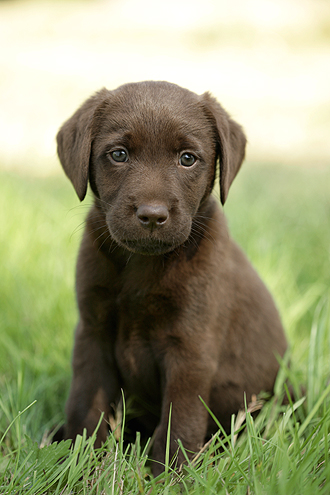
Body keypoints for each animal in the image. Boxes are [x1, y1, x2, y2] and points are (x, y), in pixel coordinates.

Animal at [56, 81, 286, 476]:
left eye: (188, 159)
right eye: (118, 155)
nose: (152, 215)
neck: (142, 266)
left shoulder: (191, 349)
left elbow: (180, 420)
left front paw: (169, 475)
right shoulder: (92, 333)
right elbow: (87, 403)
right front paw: (80, 462)